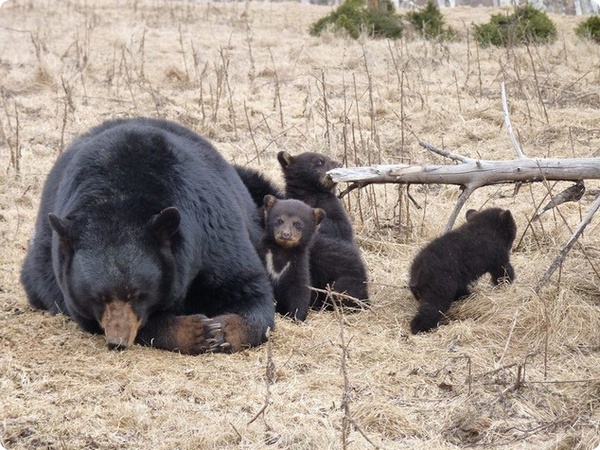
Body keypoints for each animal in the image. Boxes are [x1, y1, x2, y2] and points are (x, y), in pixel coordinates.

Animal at [19, 117, 276, 356]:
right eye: (99, 297)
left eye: (136, 294)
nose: (117, 341)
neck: (120, 198)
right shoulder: (69, 289)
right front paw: (196, 331)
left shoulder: (213, 228)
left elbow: (247, 287)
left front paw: (223, 330)